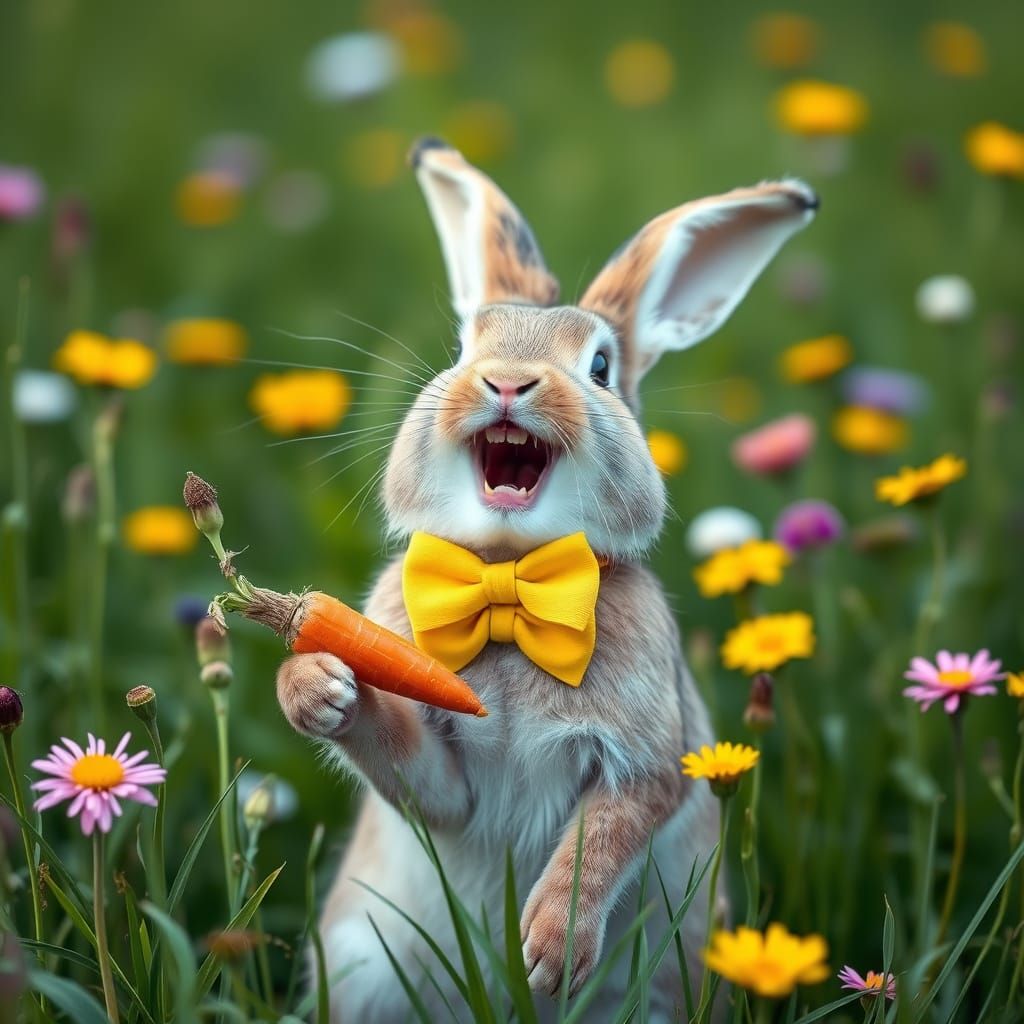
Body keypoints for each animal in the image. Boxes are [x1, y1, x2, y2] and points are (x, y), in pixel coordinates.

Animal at [276, 137, 818, 1022]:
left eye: (600, 366)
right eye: (462, 348)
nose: (505, 381)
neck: (506, 580)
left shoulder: (646, 760)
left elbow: (605, 837)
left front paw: (547, 951)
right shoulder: (444, 779)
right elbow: (411, 768)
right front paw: (317, 688)